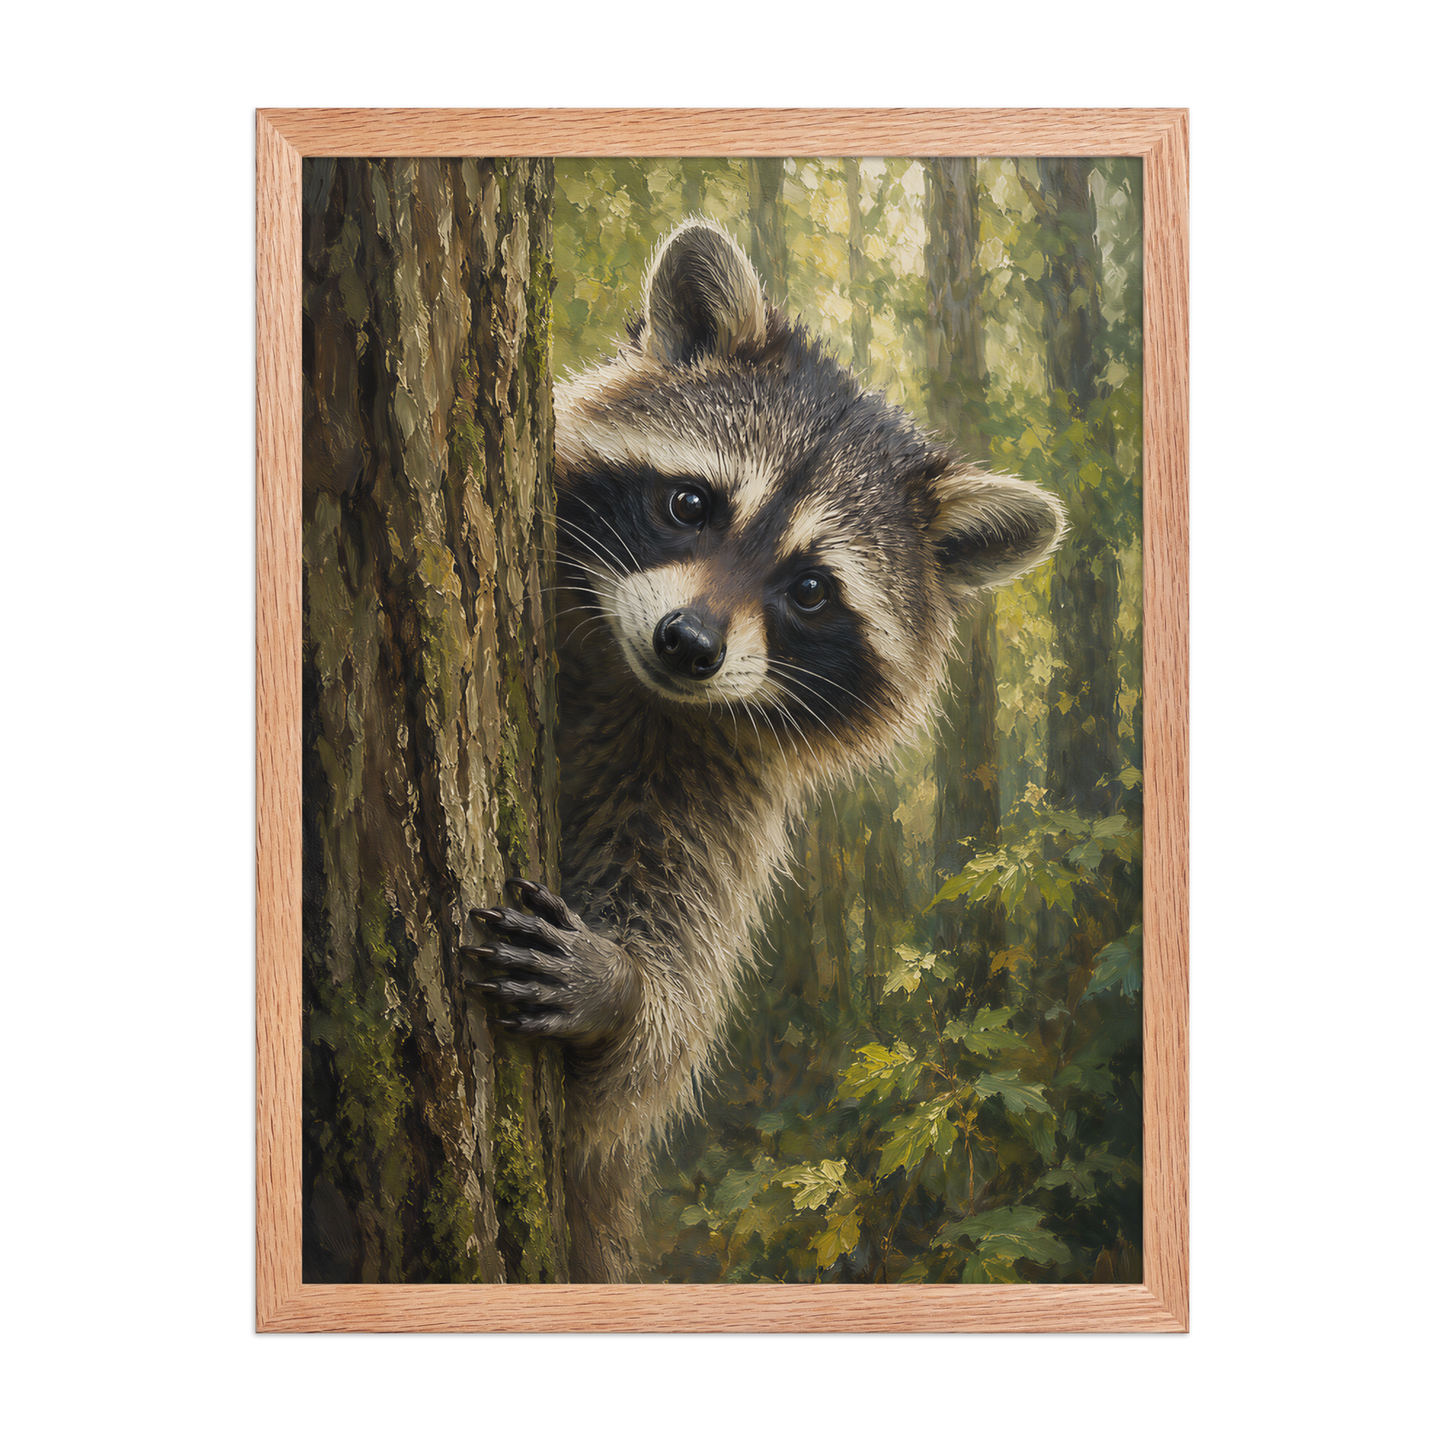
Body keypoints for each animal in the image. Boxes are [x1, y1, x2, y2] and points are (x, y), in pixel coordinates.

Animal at [462, 217, 1065, 1283]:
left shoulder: (713, 788)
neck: (631, 682)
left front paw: (625, 991)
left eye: (812, 590)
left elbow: (644, 1060)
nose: (688, 645)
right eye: (690, 504)